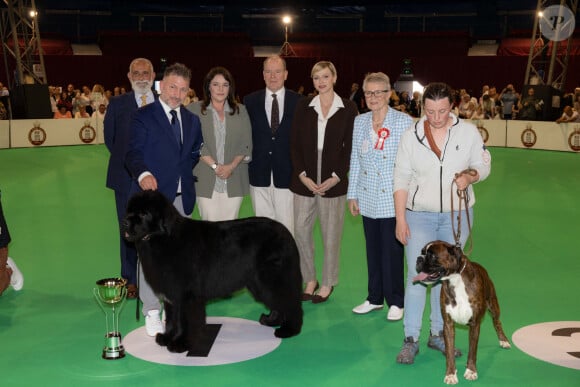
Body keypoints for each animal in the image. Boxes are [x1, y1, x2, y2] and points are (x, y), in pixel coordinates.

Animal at [122, 191, 304, 354]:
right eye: (129, 211)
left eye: (144, 213)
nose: (125, 222)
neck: (164, 238)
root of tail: (286, 232)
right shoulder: (171, 294)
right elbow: (171, 319)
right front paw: (166, 338)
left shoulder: (186, 295)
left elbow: (184, 321)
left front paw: (180, 344)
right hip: (259, 282)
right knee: (277, 302)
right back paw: (271, 320)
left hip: (271, 277)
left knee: (290, 301)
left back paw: (289, 329)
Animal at [414, 242, 510, 384]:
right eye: (422, 252)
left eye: (432, 255)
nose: (418, 259)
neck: (455, 281)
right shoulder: (448, 325)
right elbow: (449, 352)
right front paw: (450, 374)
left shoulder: (475, 325)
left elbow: (472, 352)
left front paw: (471, 371)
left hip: (493, 306)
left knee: (497, 322)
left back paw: (504, 340)